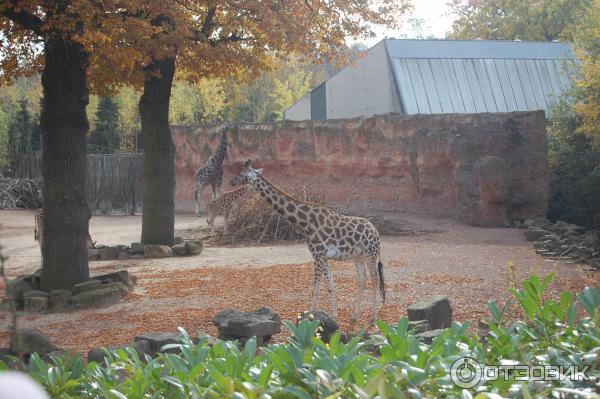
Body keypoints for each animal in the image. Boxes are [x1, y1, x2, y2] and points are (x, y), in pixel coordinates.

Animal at [232, 159, 386, 324]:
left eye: (241, 174)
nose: (232, 181)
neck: (306, 222)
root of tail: (376, 232)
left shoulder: (317, 254)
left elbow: (316, 288)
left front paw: (309, 317)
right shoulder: (322, 255)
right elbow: (330, 284)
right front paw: (334, 316)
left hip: (371, 253)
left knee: (375, 278)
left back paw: (373, 318)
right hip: (358, 256)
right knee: (363, 278)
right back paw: (354, 316)